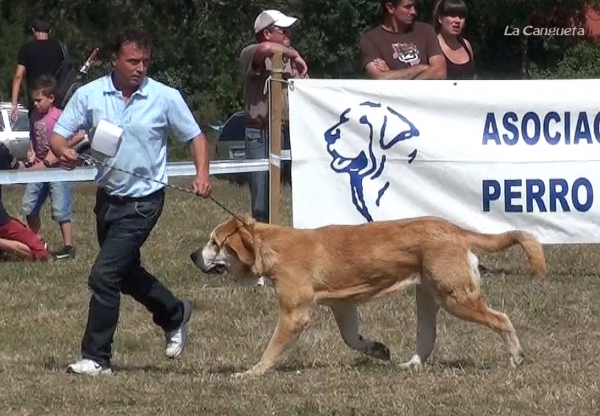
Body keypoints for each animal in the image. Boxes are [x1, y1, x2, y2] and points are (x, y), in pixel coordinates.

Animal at [190, 214, 548, 376]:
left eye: (214, 243)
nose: (193, 256)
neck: (272, 246)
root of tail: (453, 228)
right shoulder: (343, 307)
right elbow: (352, 338)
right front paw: (377, 349)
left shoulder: (295, 314)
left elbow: (272, 349)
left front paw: (250, 373)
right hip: (428, 298)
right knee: (427, 337)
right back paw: (410, 364)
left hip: (456, 298)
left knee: (501, 319)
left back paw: (516, 356)